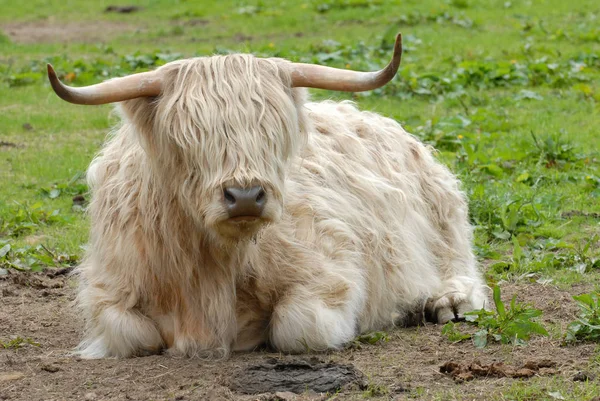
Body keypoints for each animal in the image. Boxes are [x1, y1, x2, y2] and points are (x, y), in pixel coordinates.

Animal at [48, 33, 488, 356]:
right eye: (185, 136)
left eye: (273, 132)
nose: (245, 196)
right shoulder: (110, 290)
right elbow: (135, 335)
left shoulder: (330, 271)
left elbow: (298, 328)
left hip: (445, 220)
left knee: (461, 265)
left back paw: (445, 301)